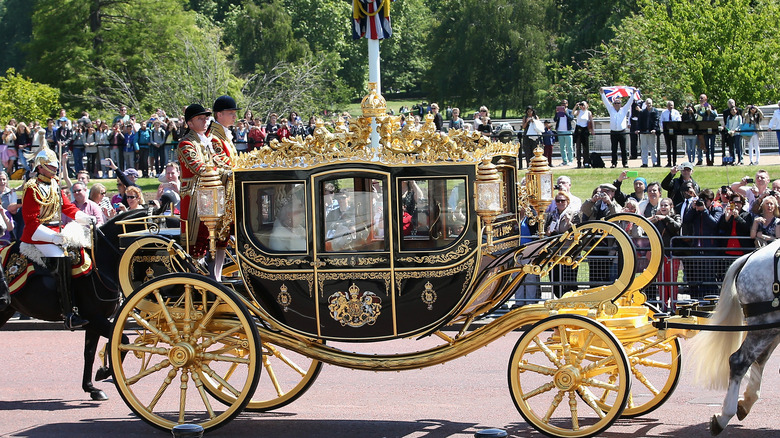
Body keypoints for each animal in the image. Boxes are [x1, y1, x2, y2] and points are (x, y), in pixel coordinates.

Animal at [0, 209, 150, 400]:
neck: (101, 263)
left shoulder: (95, 322)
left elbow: (90, 353)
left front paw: (91, 387)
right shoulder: (95, 318)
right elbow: (122, 340)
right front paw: (105, 372)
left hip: (5, 310)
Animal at [684, 240, 780, 434]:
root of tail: (752, 255)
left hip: (770, 326)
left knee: (758, 359)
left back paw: (745, 403)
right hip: (766, 325)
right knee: (739, 361)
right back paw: (724, 417)